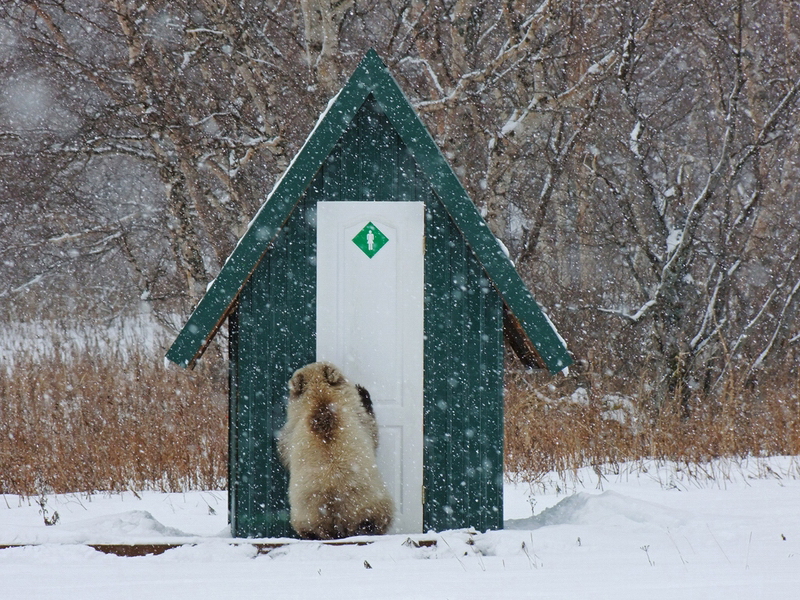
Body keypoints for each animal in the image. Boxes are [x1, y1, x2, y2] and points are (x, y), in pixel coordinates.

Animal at [276, 360, 396, 540]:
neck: (321, 400)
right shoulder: (352, 414)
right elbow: (371, 429)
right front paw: (363, 393)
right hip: (371, 500)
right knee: (380, 514)